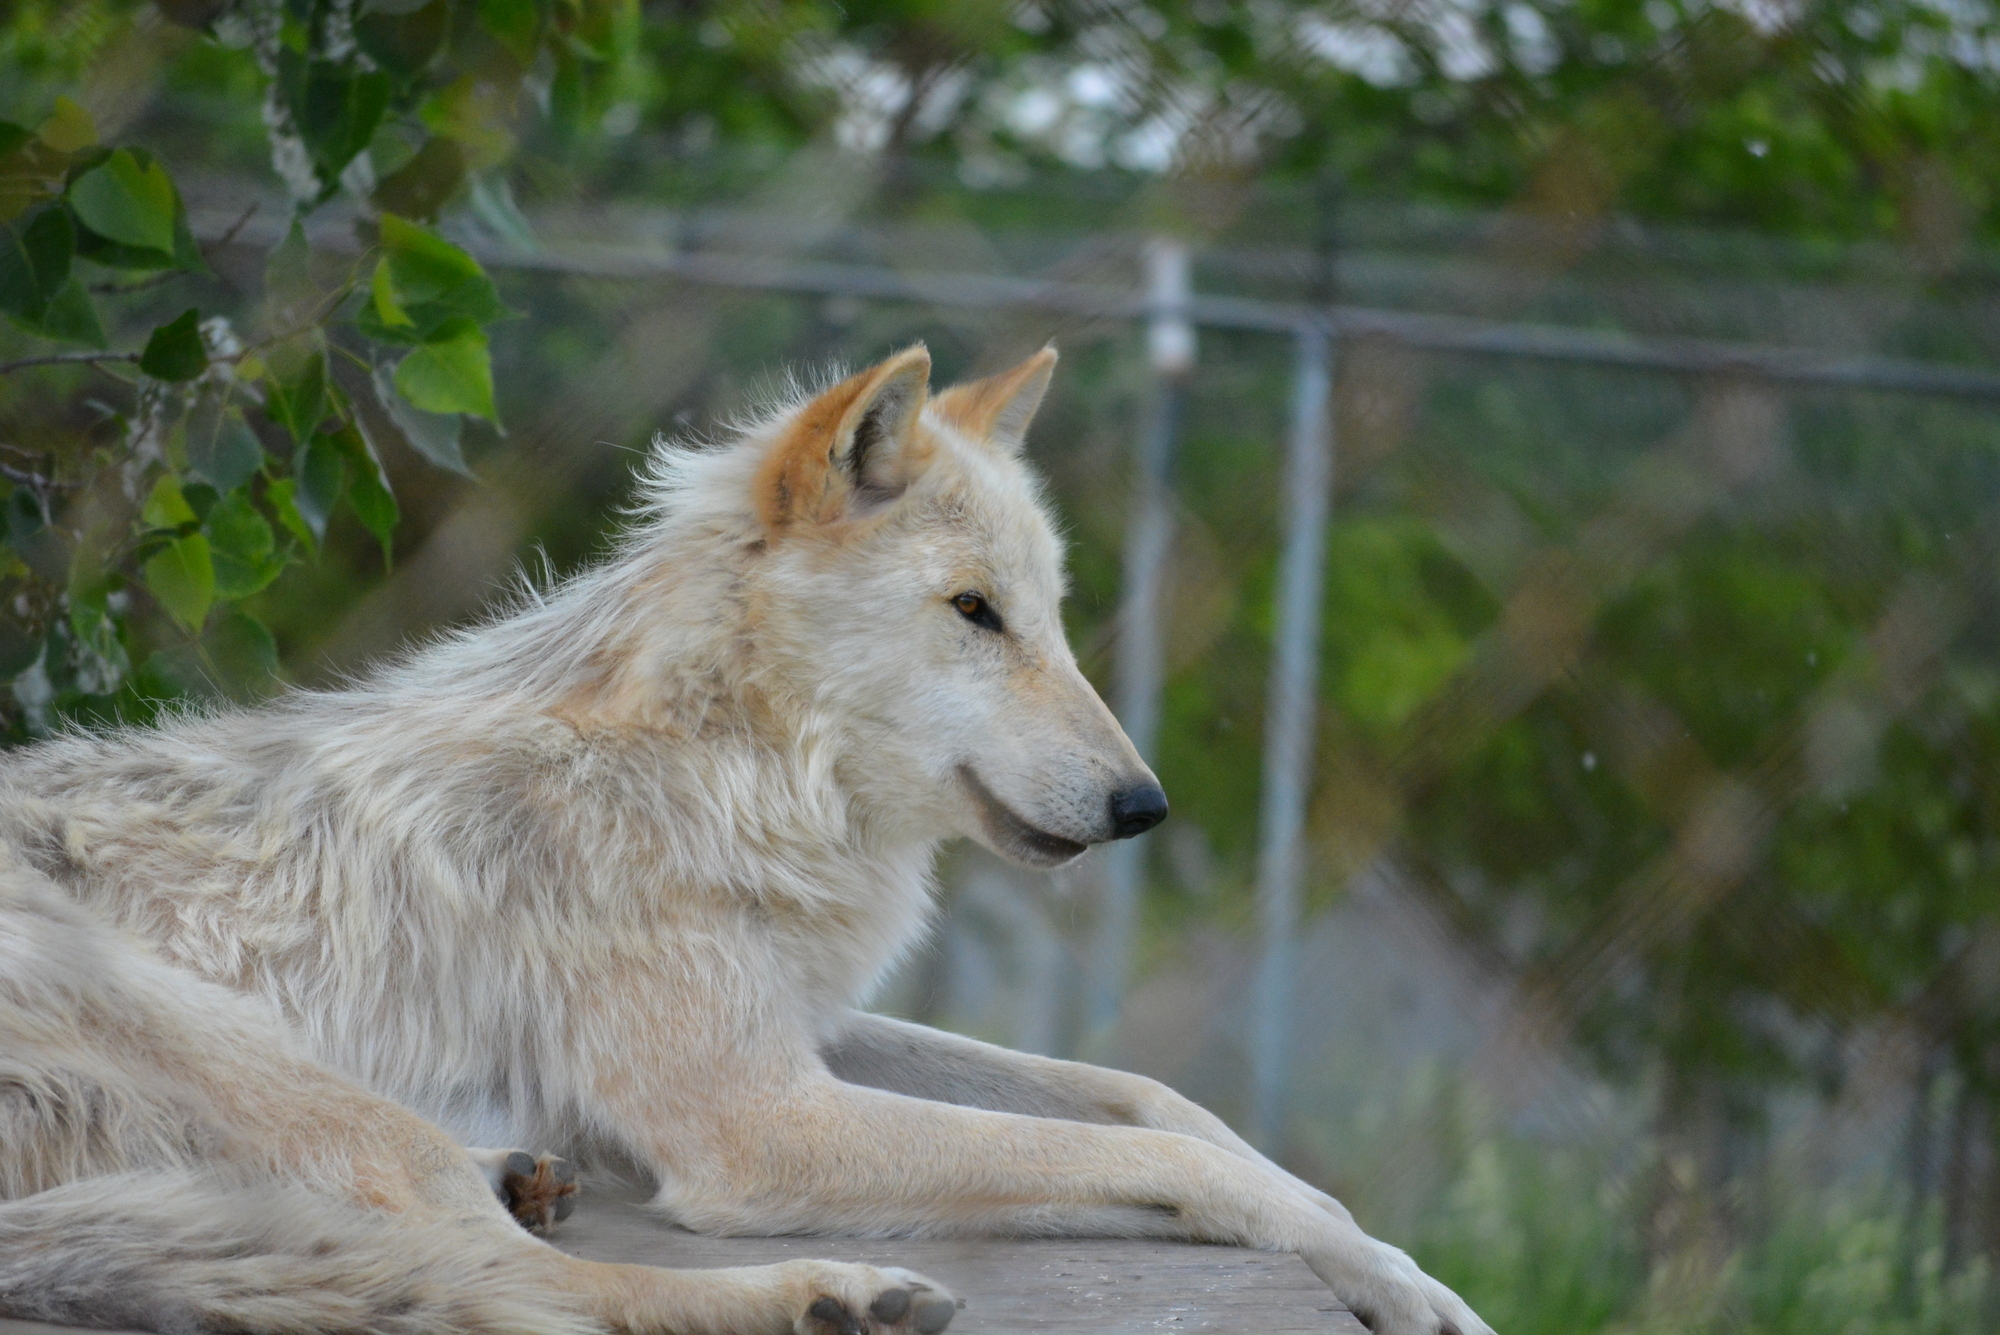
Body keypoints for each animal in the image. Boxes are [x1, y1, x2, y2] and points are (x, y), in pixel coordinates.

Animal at [0, 347, 1488, 1335]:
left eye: (1053, 613)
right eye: (974, 610)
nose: (1145, 806)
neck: (734, 767)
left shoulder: (806, 1027)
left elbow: (1152, 1103)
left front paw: (1394, 1266)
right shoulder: (757, 1121)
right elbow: (1178, 1161)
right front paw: (1391, 1274)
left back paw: (522, 1173)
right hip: (226, 1038)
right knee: (505, 1283)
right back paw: (828, 1294)